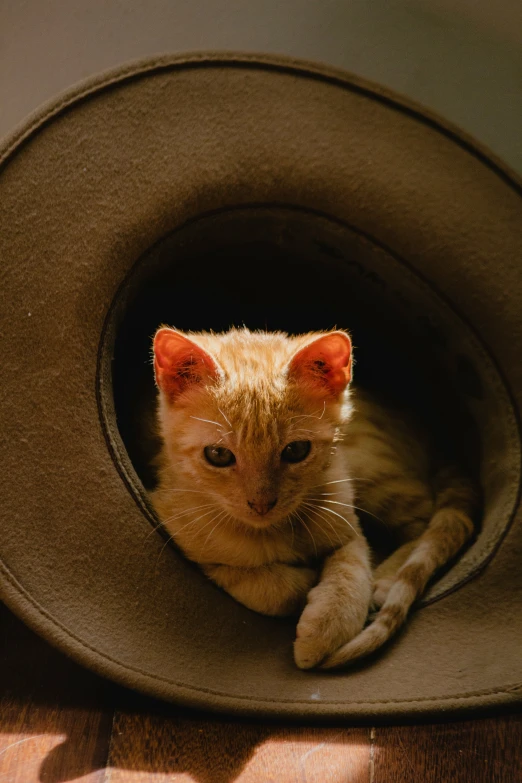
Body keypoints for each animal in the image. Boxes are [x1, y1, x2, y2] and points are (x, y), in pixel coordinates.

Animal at [147, 324, 476, 668]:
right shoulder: (183, 537)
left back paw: (385, 579)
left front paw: (326, 629)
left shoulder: (346, 521)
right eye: (218, 455)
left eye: (296, 450)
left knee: (424, 521)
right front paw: (302, 584)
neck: (273, 532)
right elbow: (262, 587)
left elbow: (352, 570)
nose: (261, 504)